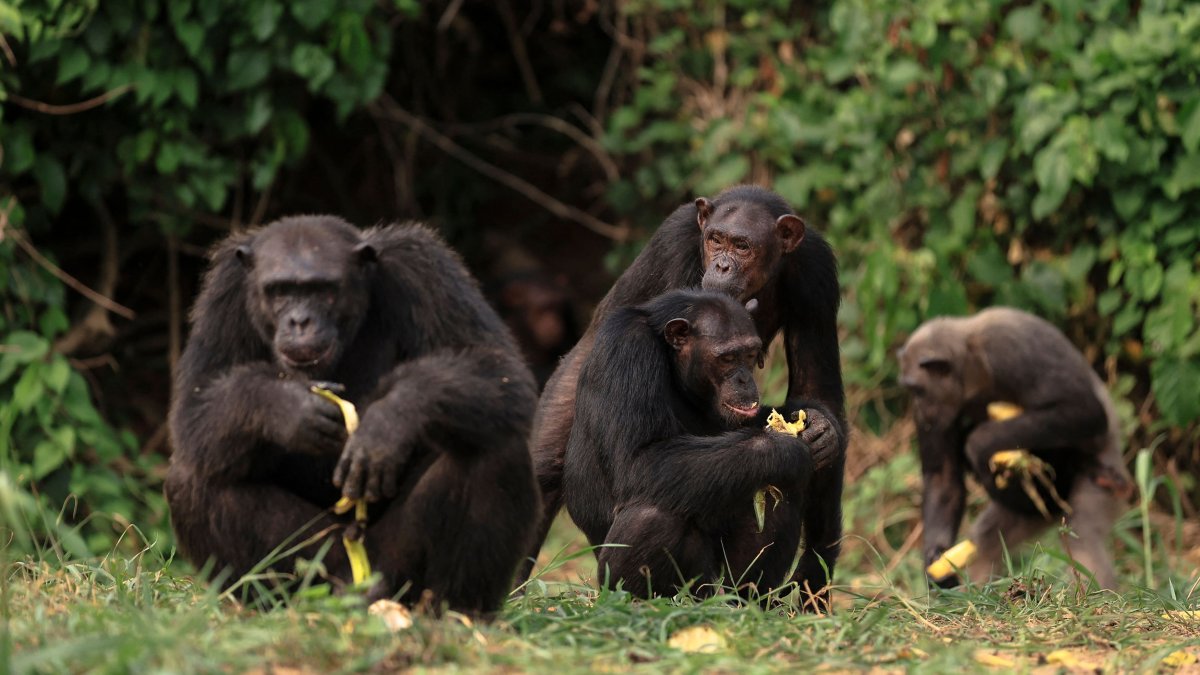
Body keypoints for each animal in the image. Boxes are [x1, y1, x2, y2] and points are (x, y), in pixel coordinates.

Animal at [166, 212, 542, 612]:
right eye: (280, 291)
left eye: (322, 290)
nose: (300, 321)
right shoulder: (225, 294)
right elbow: (196, 406)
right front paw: (287, 407)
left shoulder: (424, 267)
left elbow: (496, 366)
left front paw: (387, 422)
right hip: (323, 567)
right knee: (193, 478)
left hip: (396, 568)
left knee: (494, 450)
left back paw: (455, 614)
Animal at [564, 285, 816, 595]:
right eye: (727, 358)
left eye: (750, 354)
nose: (745, 379)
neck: (673, 363)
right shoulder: (627, 349)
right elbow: (638, 459)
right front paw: (781, 449)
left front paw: (821, 428)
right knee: (653, 516)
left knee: (776, 486)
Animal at [902, 307, 1132, 586]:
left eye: (917, 390)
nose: (920, 411)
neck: (971, 368)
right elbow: (942, 477)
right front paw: (935, 557)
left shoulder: (1010, 350)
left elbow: (1084, 410)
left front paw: (980, 442)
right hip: (1030, 517)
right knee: (987, 545)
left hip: (1103, 485)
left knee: (1083, 538)